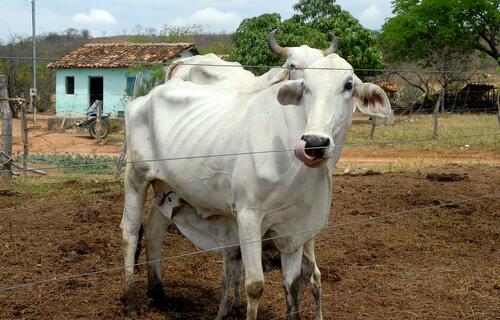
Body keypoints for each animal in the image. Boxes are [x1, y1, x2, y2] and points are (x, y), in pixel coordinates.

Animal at [121, 52, 390, 318]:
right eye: (305, 85)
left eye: (348, 85)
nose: (314, 143)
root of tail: (146, 97)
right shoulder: (248, 216)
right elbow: (254, 285)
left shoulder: (295, 229)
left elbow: (292, 285)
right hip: (136, 176)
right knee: (131, 232)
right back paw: (131, 300)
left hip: (166, 186)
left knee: (153, 229)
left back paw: (158, 293)